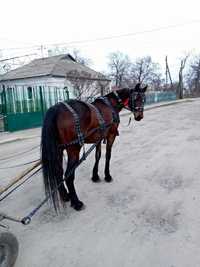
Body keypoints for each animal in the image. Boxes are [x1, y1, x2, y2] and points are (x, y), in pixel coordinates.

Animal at [41, 82, 147, 213]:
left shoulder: (98, 139)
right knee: (68, 175)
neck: (111, 104)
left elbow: (98, 156)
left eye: (144, 99)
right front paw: (107, 175)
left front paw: (95, 176)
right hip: (73, 149)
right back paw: (76, 202)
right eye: (136, 98)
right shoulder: (111, 136)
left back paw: (65, 195)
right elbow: (108, 155)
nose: (140, 116)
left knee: (58, 171)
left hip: (59, 149)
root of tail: (56, 108)